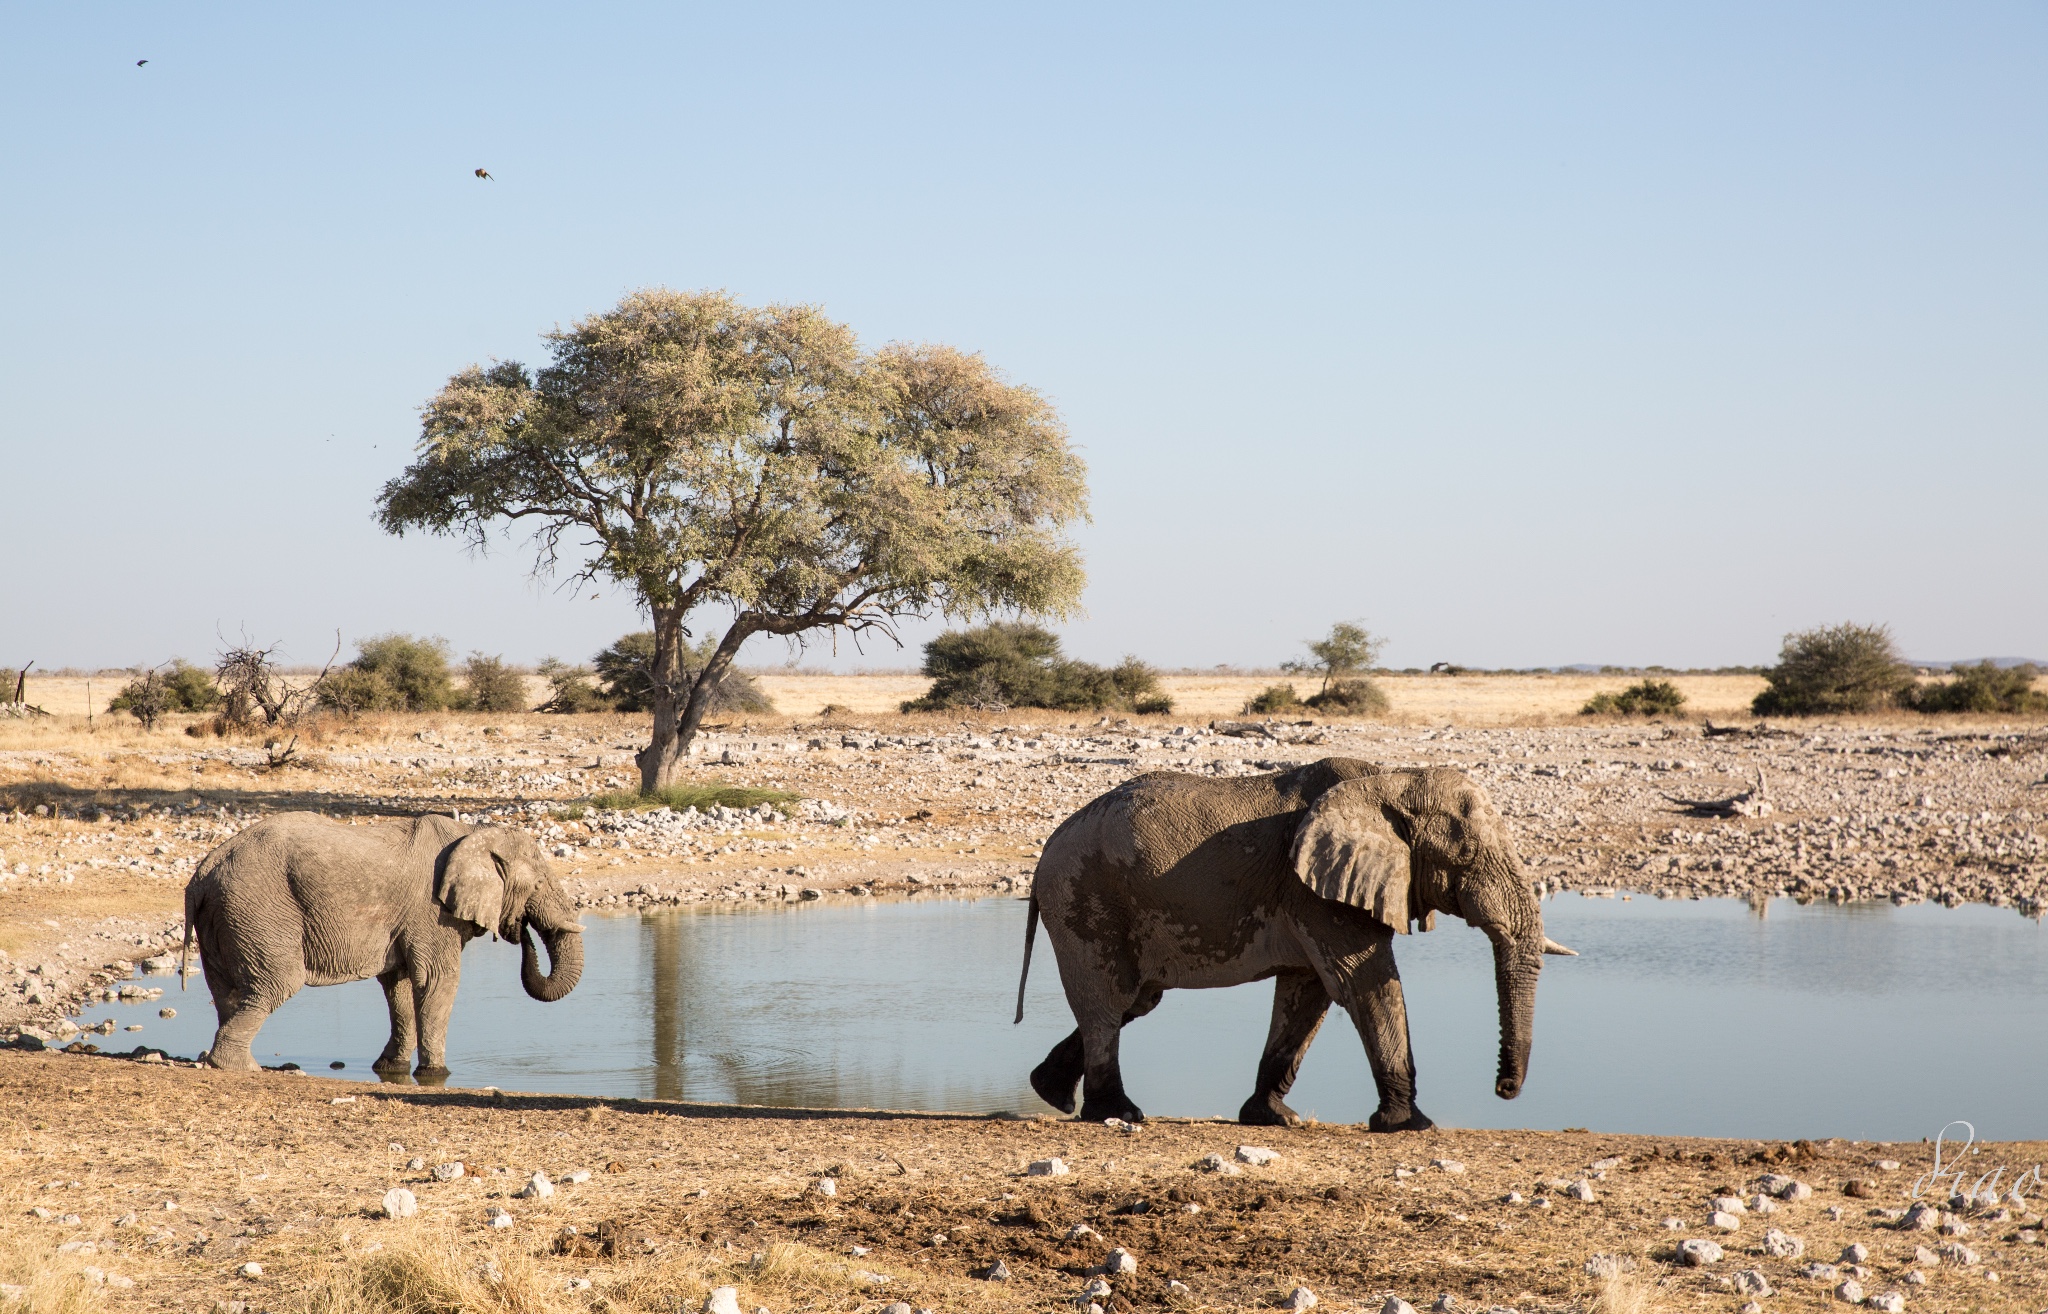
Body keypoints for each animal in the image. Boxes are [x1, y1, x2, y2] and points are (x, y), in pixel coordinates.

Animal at [180, 810, 581, 1072]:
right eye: (538, 885)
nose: (520, 930)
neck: (475, 833)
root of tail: (201, 874)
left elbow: (399, 985)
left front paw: (391, 1067)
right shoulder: (430, 911)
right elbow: (438, 980)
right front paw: (437, 1074)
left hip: (226, 916)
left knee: (226, 991)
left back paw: (232, 1061)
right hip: (258, 909)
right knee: (276, 984)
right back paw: (239, 1068)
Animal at [1015, 757, 1572, 1129]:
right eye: (1468, 856)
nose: (1503, 1089)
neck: (1390, 780)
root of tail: (1045, 850)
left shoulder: (1317, 893)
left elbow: (1309, 994)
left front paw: (1273, 1117)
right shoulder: (1316, 893)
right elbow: (1366, 985)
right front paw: (1409, 1124)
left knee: (1135, 1001)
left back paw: (1052, 1093)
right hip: (1084, 899)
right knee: (1109, 1001)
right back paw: (1118, 1113)